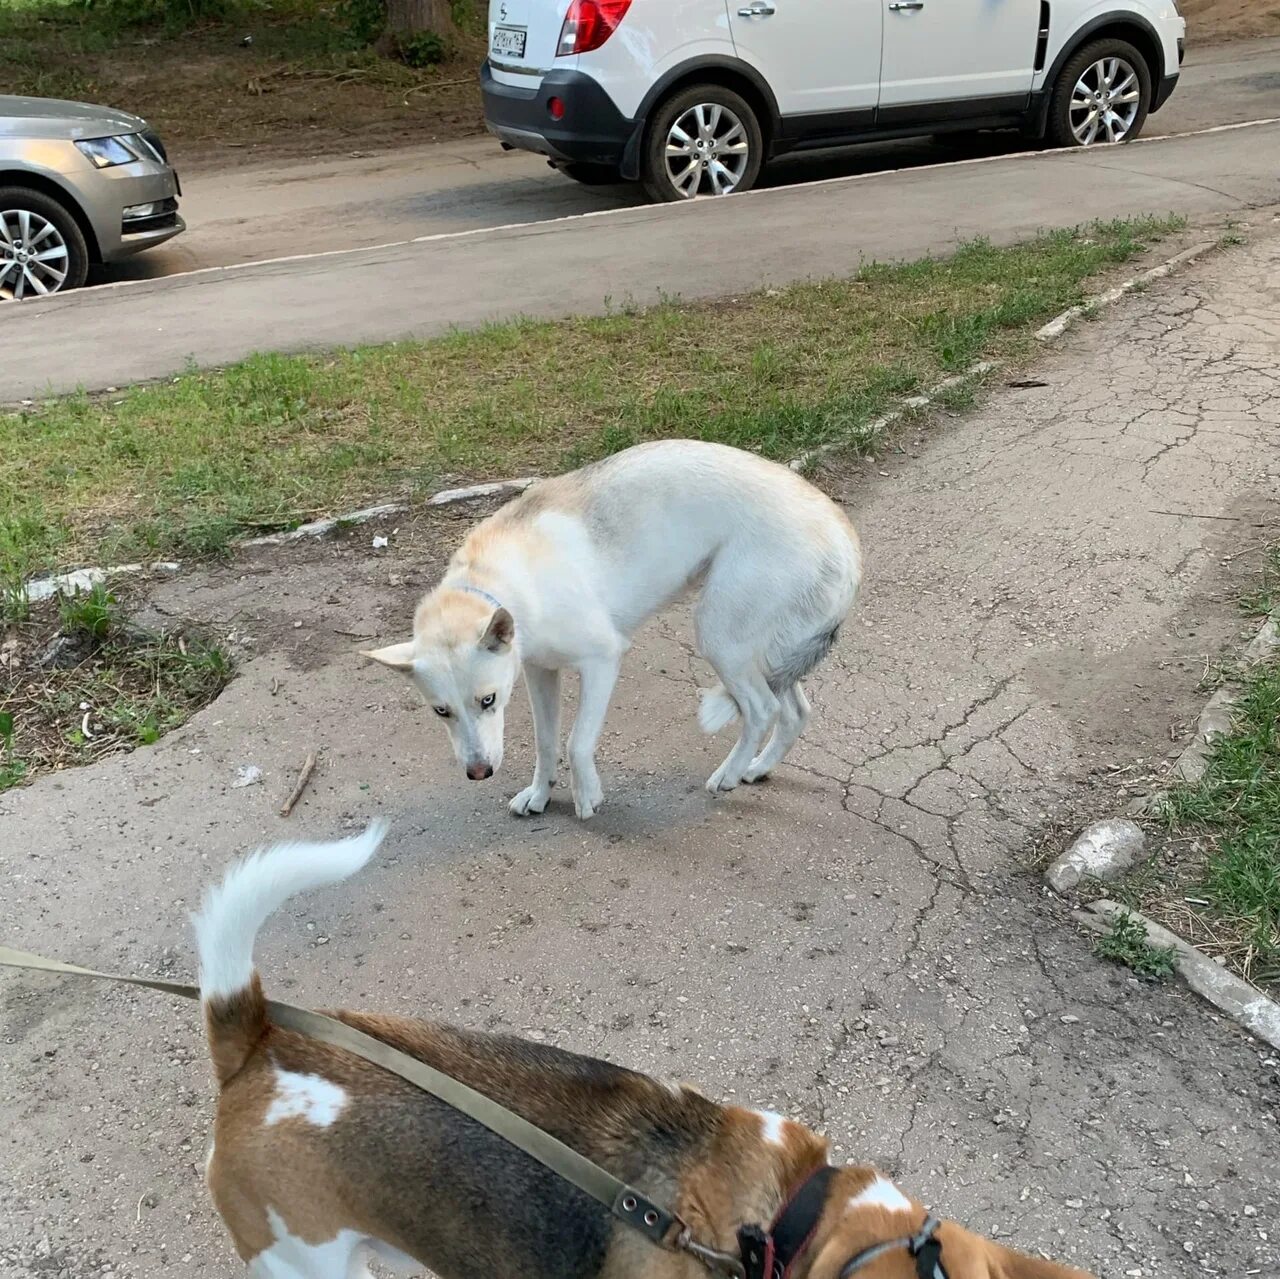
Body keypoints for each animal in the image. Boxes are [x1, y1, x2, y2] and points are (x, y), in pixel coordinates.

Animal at [363, 440, 860, 819]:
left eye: (487, 701)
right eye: (440, 712)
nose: (479, 773)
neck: (502, 583)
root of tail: (845, 536)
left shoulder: (603, 660)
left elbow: (576, 741)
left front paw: (587, 796)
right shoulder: (538, 673)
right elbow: (546, 743)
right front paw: (541, 795)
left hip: (720, 638)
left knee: (761, 709)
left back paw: (730, 774)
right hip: (763, 652)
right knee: (794, 712)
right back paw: (756, 768)